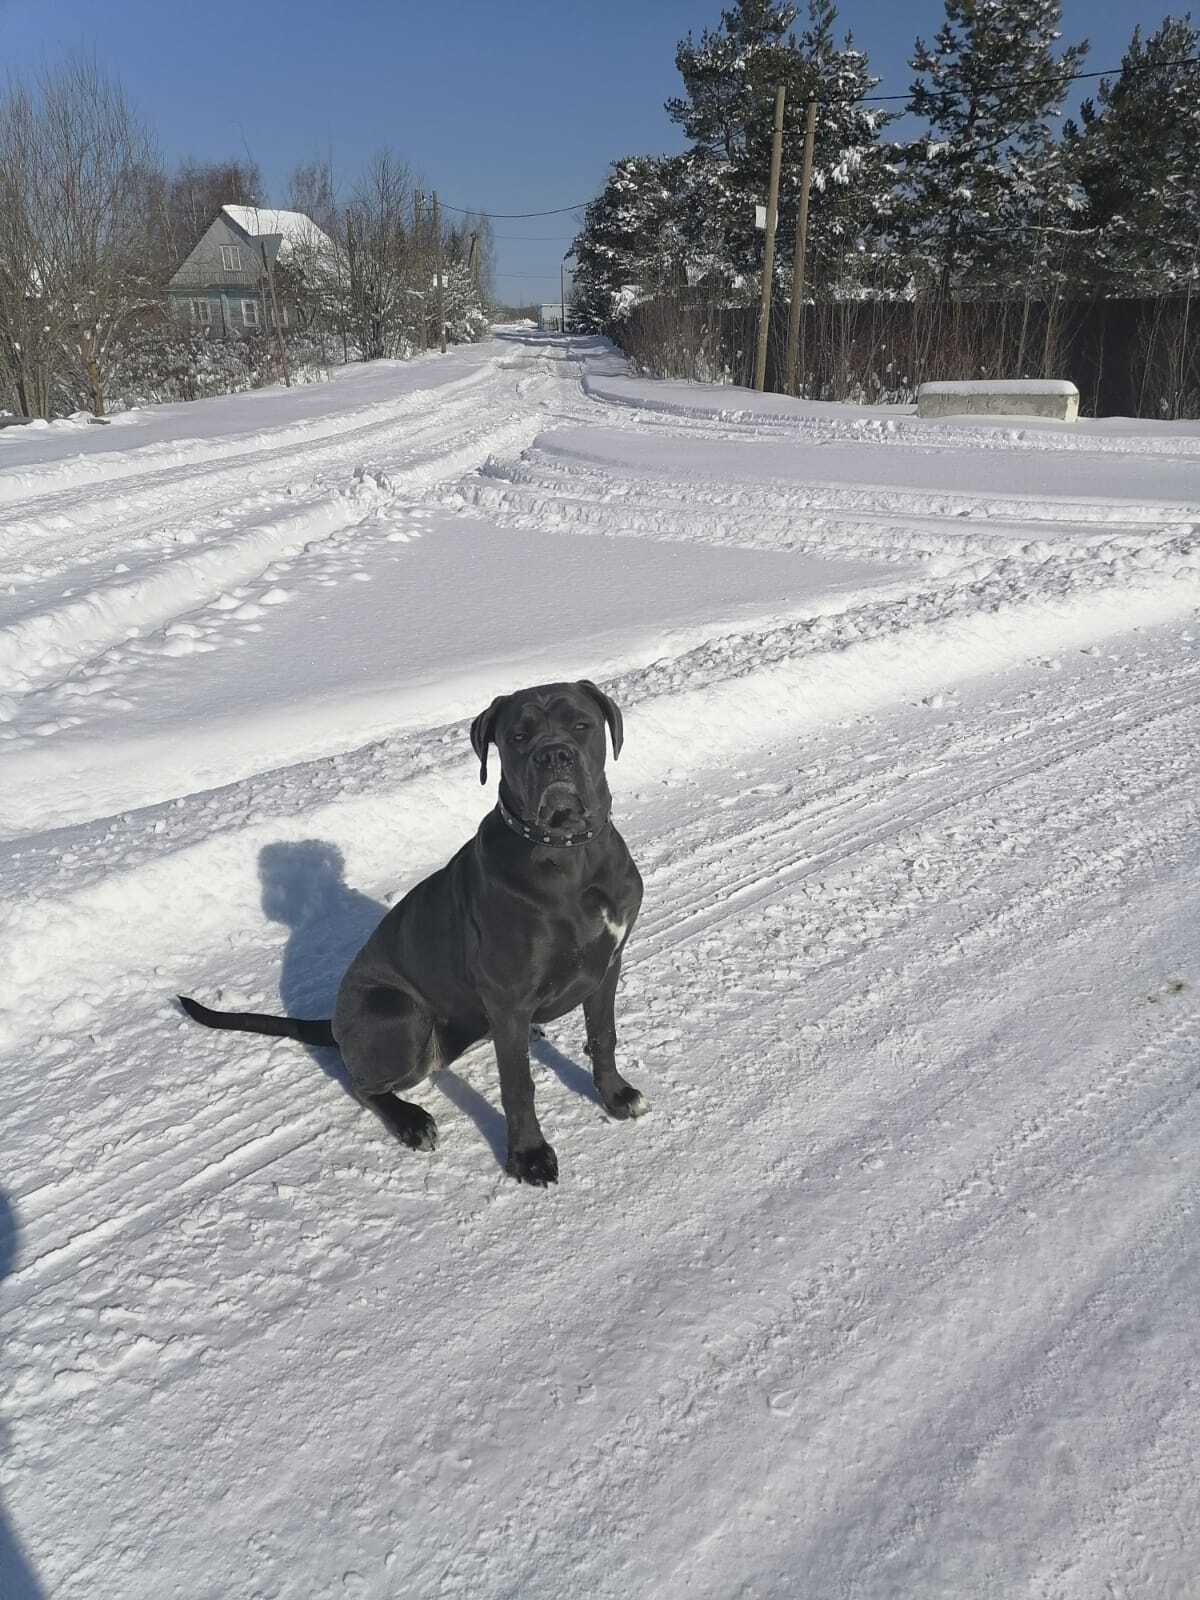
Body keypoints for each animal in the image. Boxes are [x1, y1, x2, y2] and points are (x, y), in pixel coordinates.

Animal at [178, 678, 649, 1190]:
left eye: (581, 725)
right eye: (518, 737)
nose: (554, 756)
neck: (568, 855)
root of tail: (336, 1023)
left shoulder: (606, 964)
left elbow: (603, 1036)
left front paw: (616, 1095)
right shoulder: (508, 997)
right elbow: (518, 1085)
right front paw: (529, 1155)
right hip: (400, 1015)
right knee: (362, 1082)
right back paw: (411, 1121)